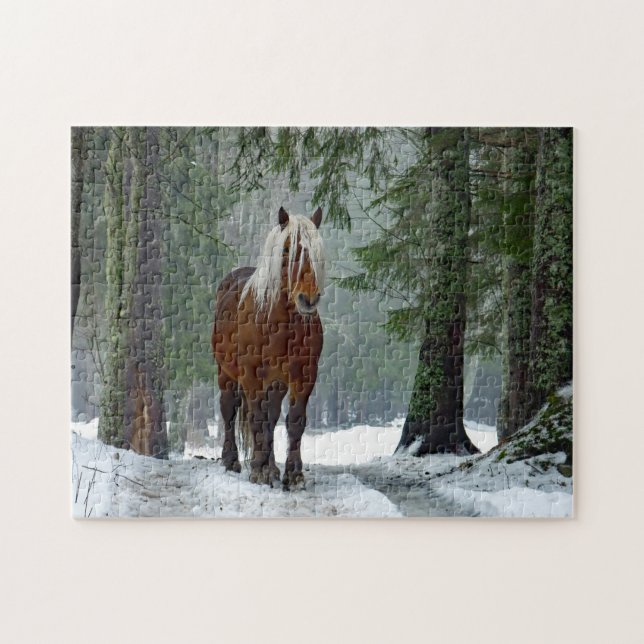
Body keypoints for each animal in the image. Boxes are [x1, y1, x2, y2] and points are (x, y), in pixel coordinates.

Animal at [212, 206, 325, 489]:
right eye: (286, 250)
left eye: (317, 251)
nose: (308, 298)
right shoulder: (251, 375)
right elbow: (256, 418)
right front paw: (258, 470)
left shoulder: (304, 375)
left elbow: (293, 422)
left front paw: (293, 474)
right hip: (225, 373)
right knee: (229, 410)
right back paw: (232, 461)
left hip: (276, 382)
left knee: (271, 418)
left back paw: (272, 467)